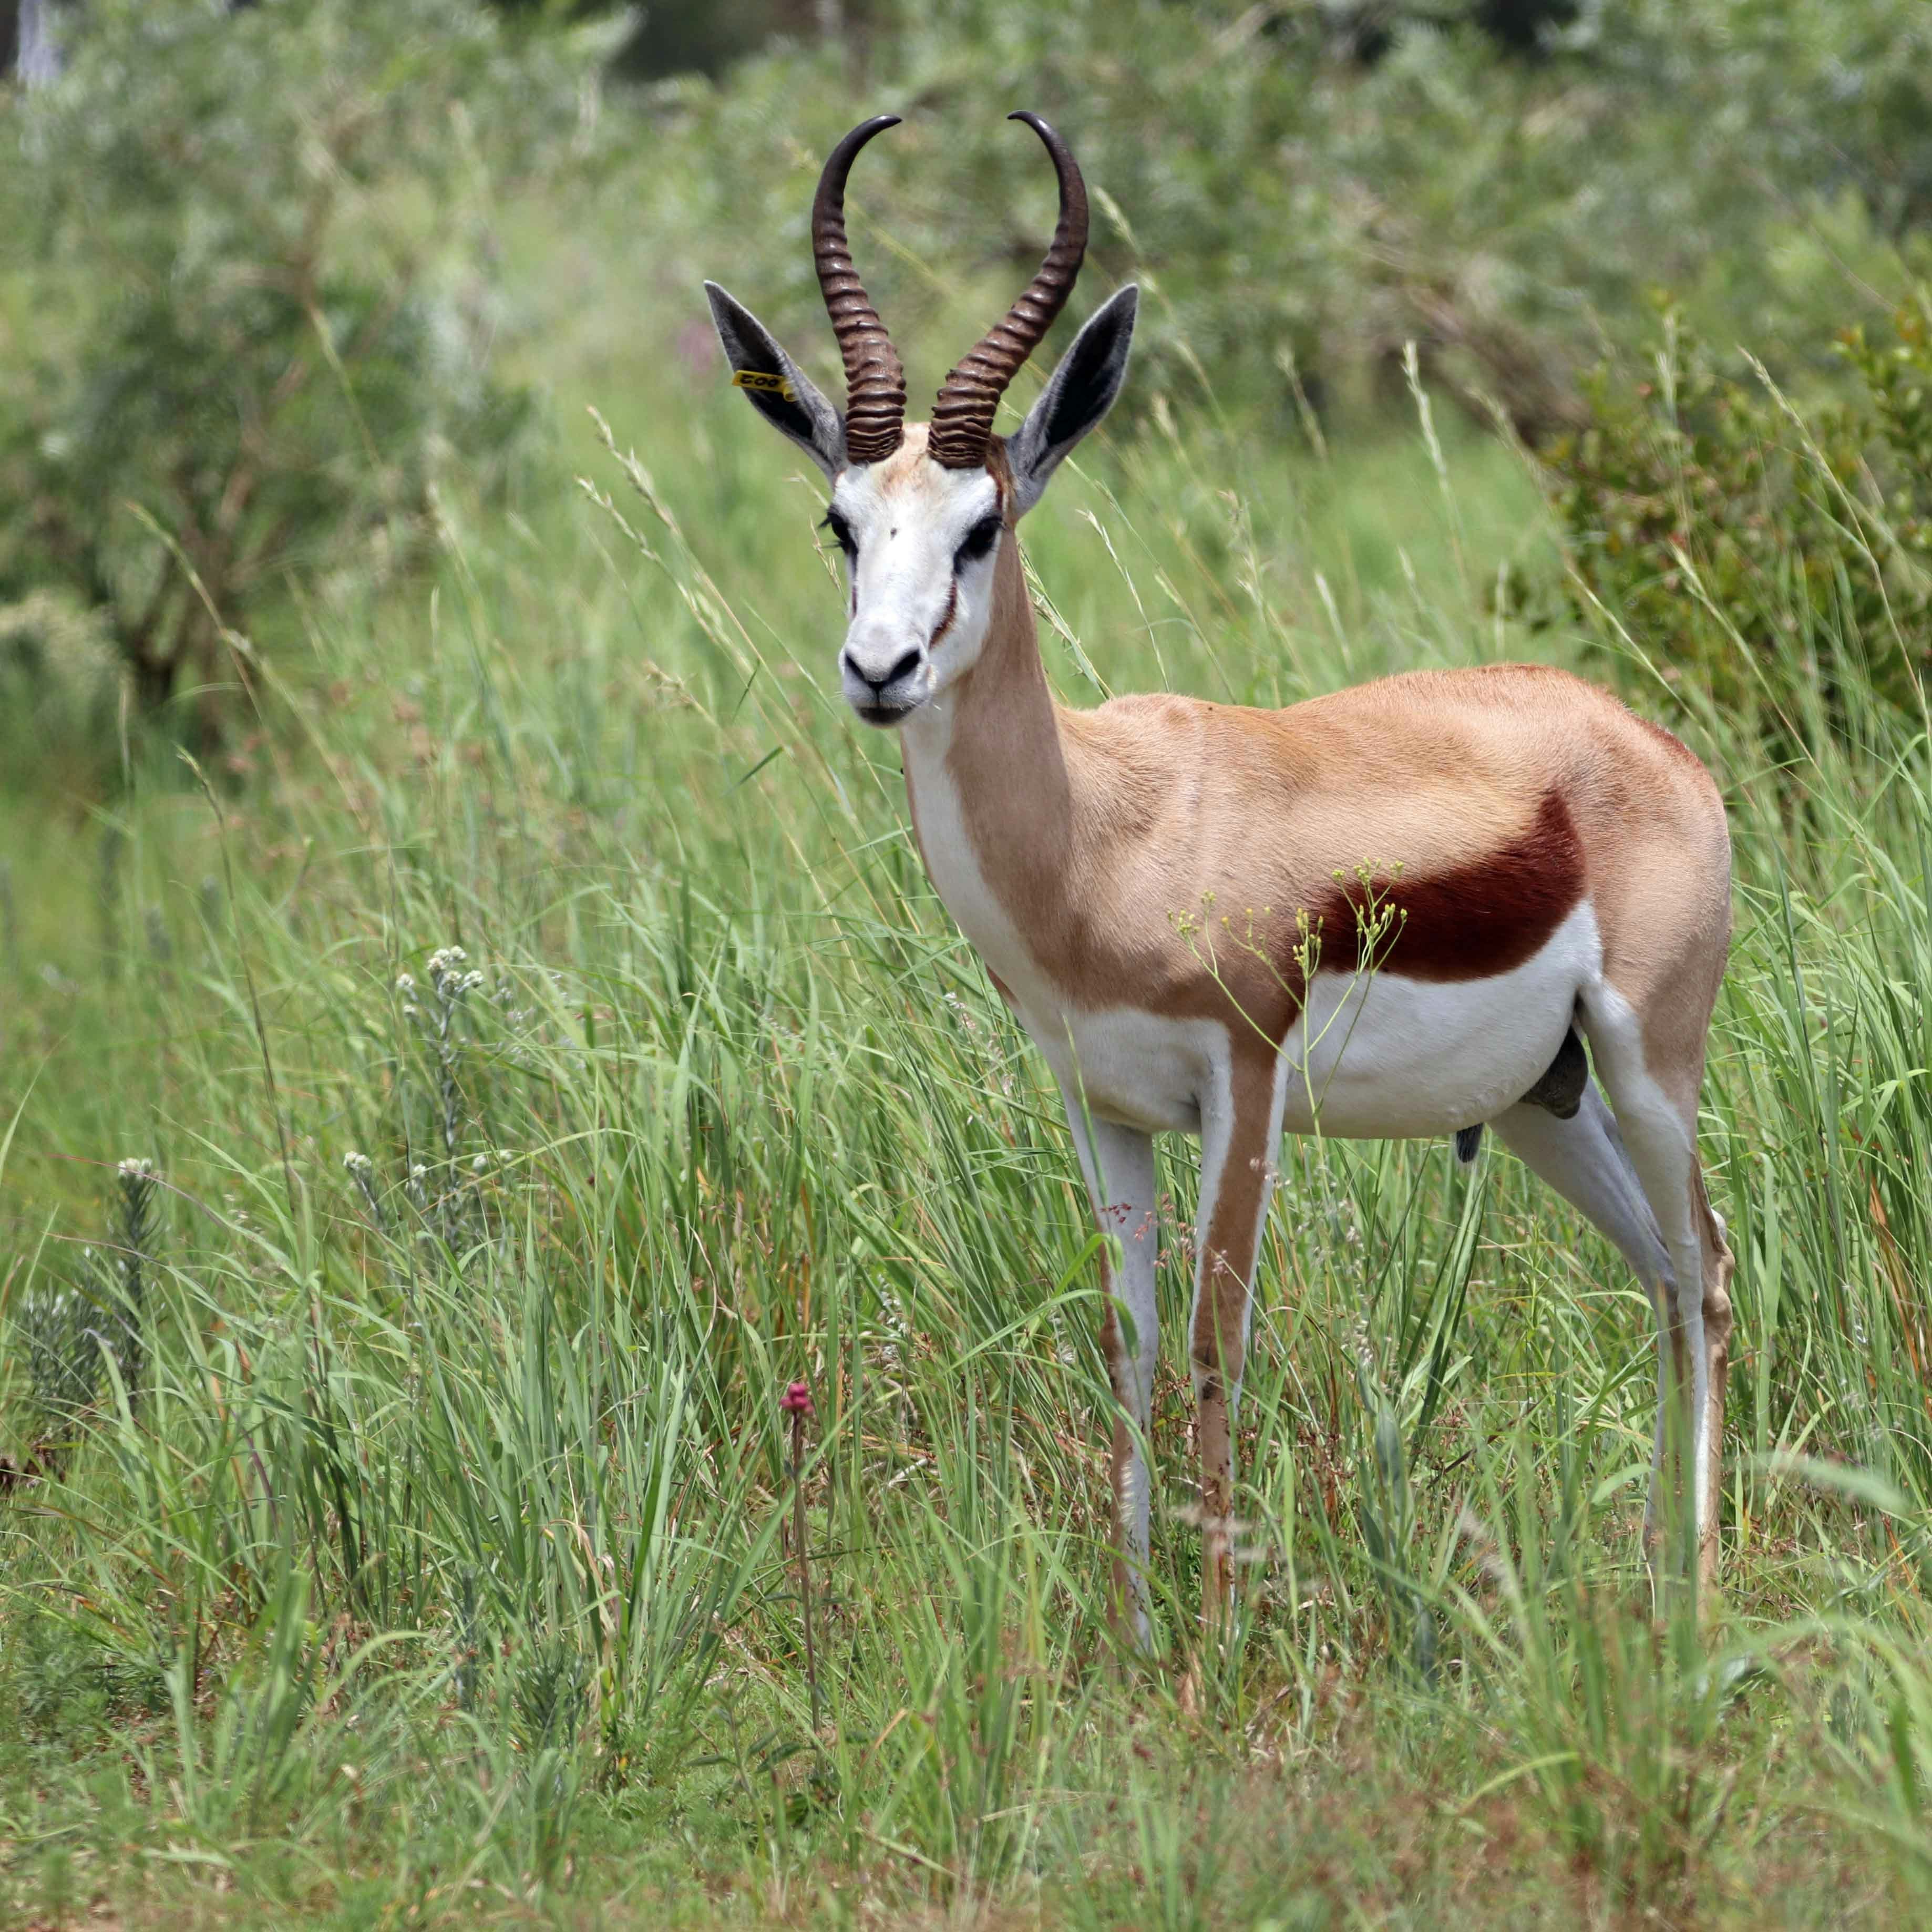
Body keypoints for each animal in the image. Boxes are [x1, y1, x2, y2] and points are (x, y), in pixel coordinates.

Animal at [703, 113, 1736, 1645]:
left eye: (980, 525)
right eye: (842, 522)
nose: (879, 670)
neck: (1104, 836)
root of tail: (1650, 745)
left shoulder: (1239, 1090)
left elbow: (1213, 1340)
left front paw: (1225, 1637)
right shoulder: (1103, 1108)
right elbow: (1127, 1344)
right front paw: (1140, 1632)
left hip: (1647, 1065)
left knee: (1708, 1272)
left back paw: (1708, 1597)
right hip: (1541, 1103)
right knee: (1663, 1278)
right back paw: (1662, 1587)